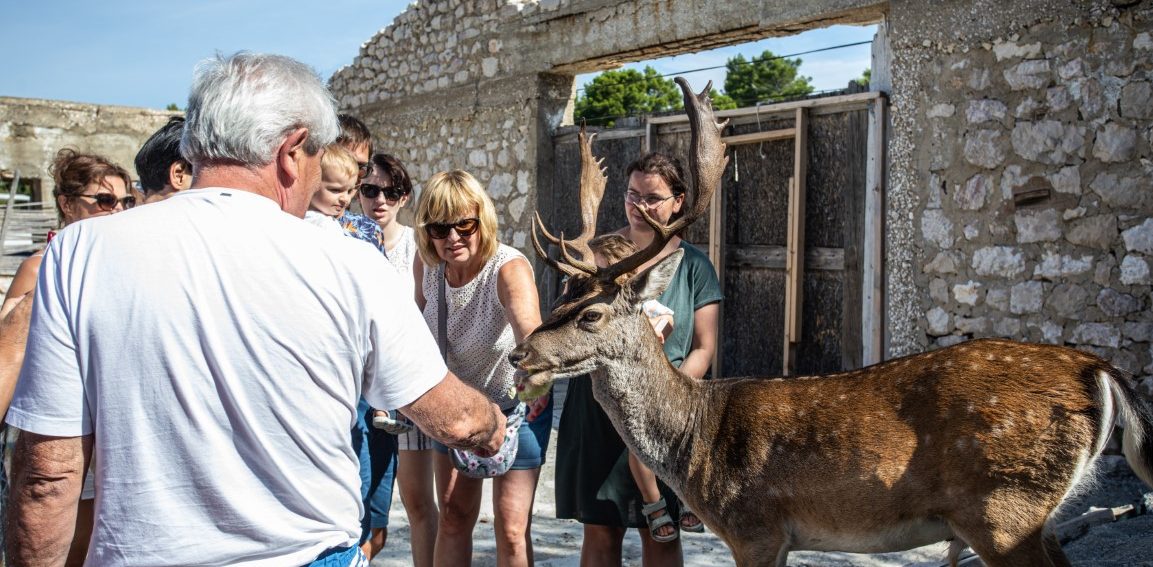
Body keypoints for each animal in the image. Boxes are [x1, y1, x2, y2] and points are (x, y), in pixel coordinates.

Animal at [514, 76, 1153, 567]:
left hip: (1004, 507)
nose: (521, 353)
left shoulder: (756, 525)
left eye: (592, 314)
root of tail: (1100, 371)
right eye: (559, 297)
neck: (695, 443)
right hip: (1027, 513)